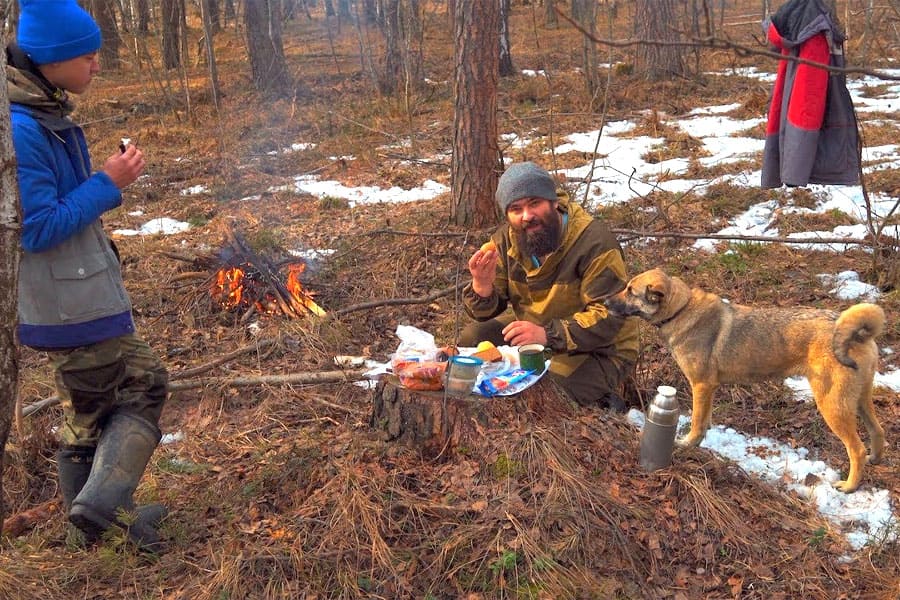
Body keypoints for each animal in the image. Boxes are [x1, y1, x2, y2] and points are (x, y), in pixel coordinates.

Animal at [604, 268, 884, 492]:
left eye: (630, 291)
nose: (605, 302)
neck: (681, 308)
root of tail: (856, 335)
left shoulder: (701, 385)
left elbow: (695, 421)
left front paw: (687, 444)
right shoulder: (709, 388)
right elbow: (704, 421)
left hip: (832, 406)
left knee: (856, 449)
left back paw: (849, 486)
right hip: (860, 400)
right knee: (877, 431)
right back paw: (875, 459)